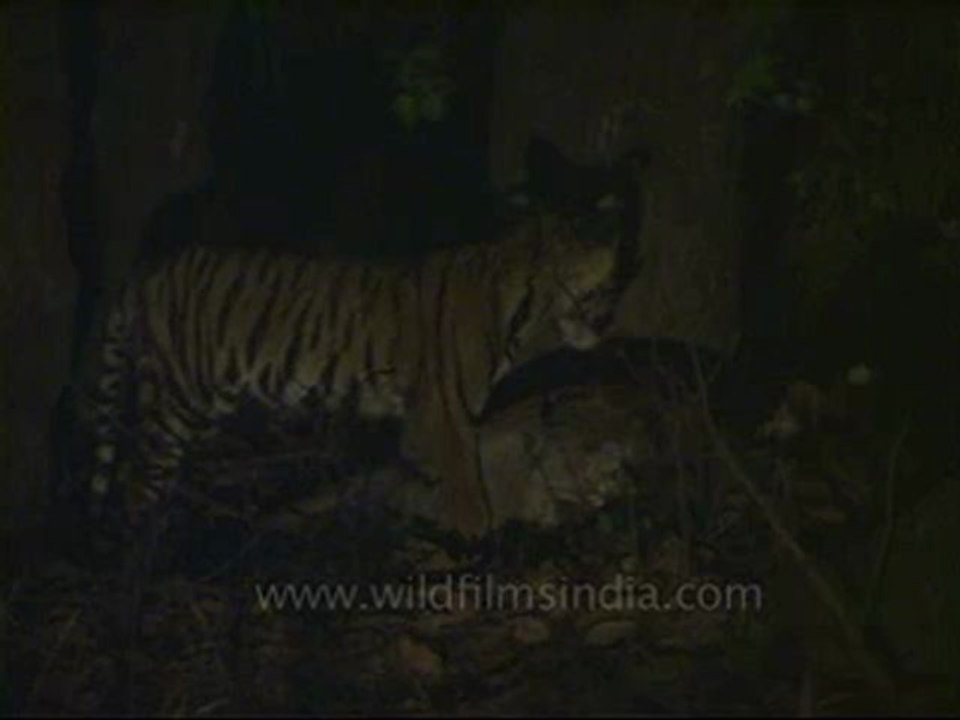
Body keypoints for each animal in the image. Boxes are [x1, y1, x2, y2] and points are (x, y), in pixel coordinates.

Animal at [88, 161, 644, 540]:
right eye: (612, 278)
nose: (613, 316)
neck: (527, 302)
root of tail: (147, 269)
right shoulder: (446, 412)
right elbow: (466, 488)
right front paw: (478, 545)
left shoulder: (430, 421)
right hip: (176, 400)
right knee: (136, 480)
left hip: (206, 403)